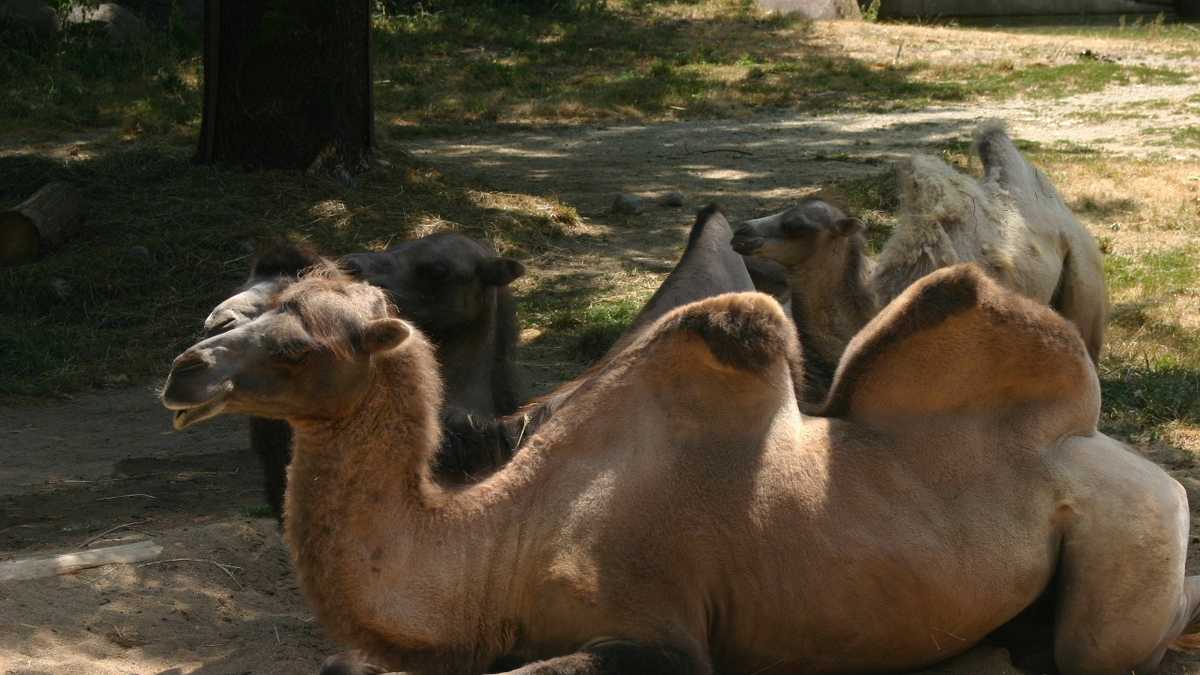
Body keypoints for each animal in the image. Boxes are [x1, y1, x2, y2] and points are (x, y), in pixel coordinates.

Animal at [161, 261, 1200, 675]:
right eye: (254, 303)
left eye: (297, 344)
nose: (186, 366)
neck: (499, 543)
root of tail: (1103, 442)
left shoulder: (656, 633)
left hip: (1131, 529)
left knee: (1110, 641)